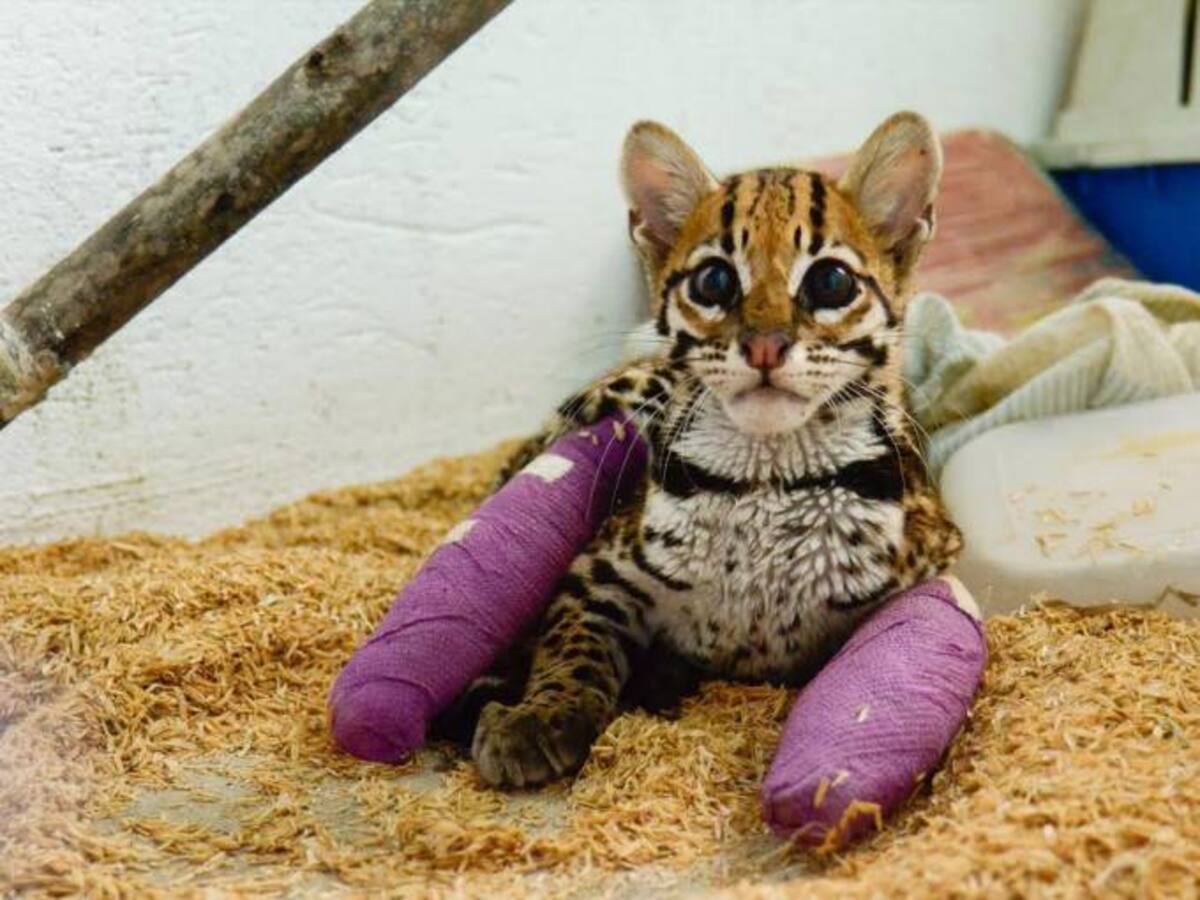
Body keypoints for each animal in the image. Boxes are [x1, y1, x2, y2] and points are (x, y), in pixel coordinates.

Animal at [433, 111, 962, 788]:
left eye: (831, 281)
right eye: (714, 281)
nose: (764, 345)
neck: (769, 475)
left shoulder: (933, 552)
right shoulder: (597, 568)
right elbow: (571, 646)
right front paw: (542, 713)